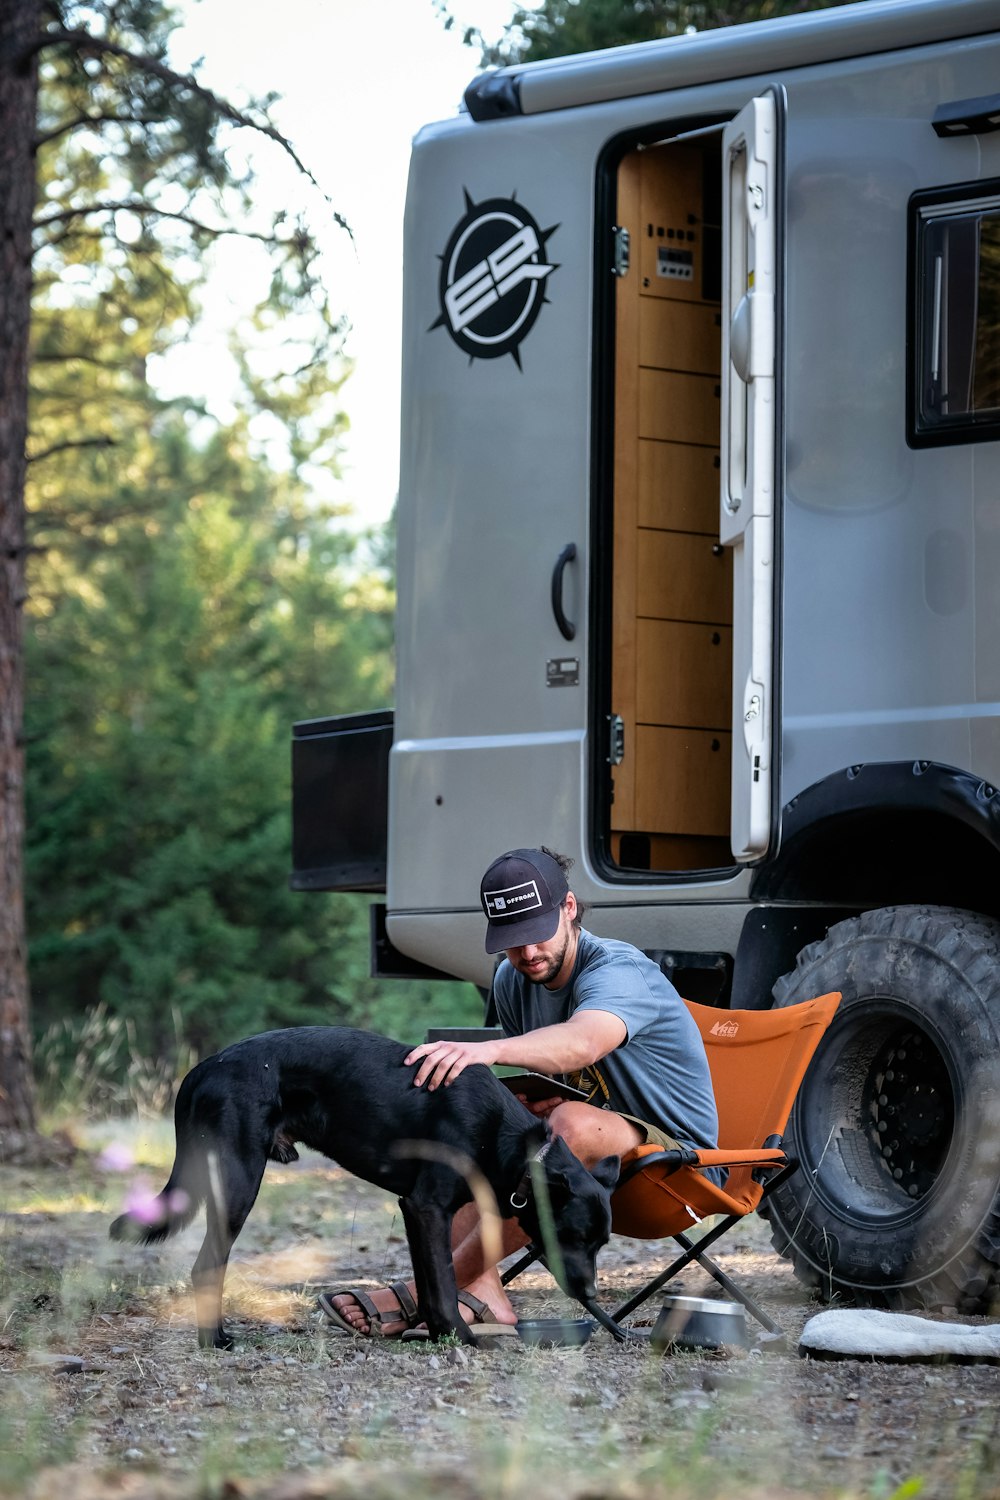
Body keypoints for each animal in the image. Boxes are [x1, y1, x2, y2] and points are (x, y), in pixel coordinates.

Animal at [113, 1026, 620, 1356]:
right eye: (572, 1236)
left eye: (600, 1244)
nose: (590, 1293)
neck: (509, 1139)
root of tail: (200, 1072)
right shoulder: (428, 1207)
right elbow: (442, 1282)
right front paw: (461, 1337)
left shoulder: (418, 1214)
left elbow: (432, 1284)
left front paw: (440, 1334)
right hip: (239, 1181)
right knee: (207, 1265)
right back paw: (213, 1341)